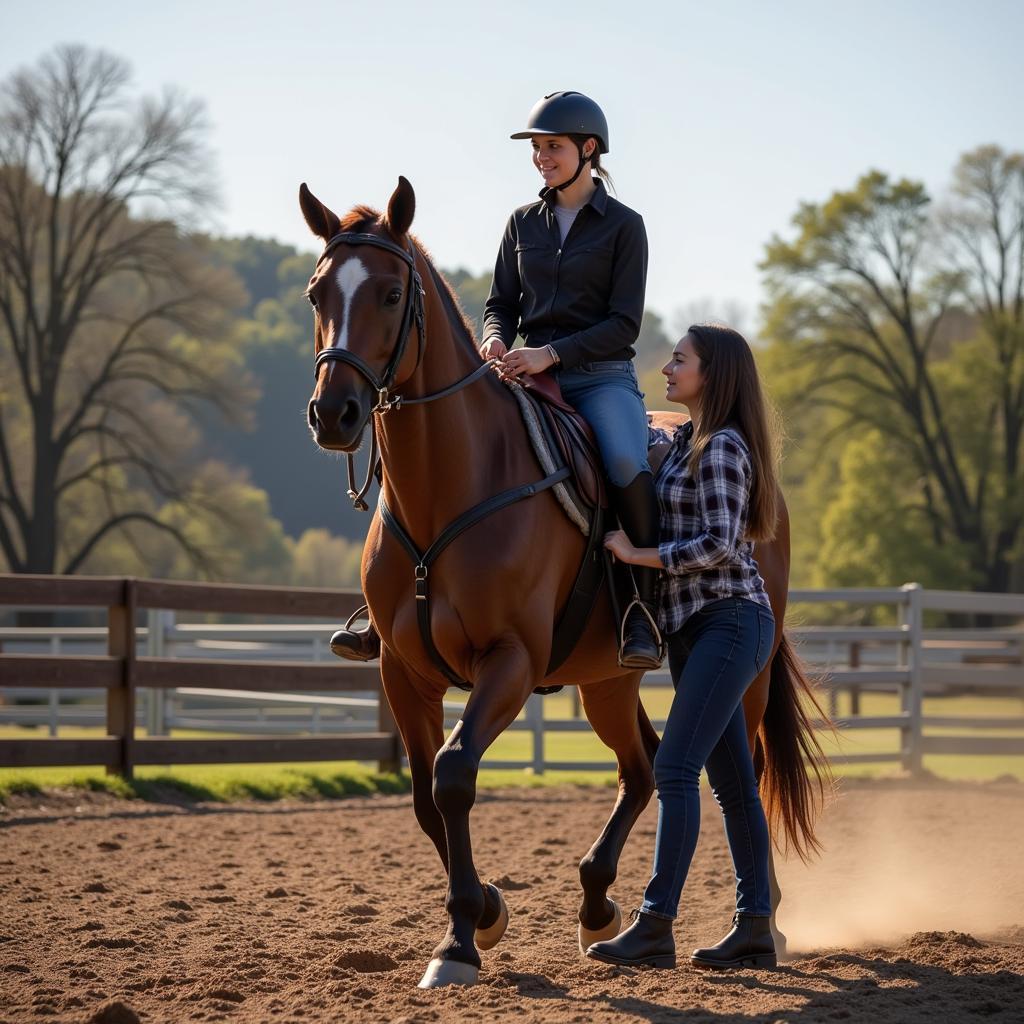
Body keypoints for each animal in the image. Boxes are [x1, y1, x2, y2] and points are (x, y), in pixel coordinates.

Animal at [299, 178, 827, 991]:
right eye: (318, 292)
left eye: (389, 293)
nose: (335, 412)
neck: (452, 485)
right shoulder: (403, 673)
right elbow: (423, 798)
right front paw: (483, 912)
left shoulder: (509, 664)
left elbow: (454, 775)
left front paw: (462, 938)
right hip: (608, 679)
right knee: (644, 768)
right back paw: (598, 905)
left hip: (746, 676)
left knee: (741, 777)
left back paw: (758, 926)